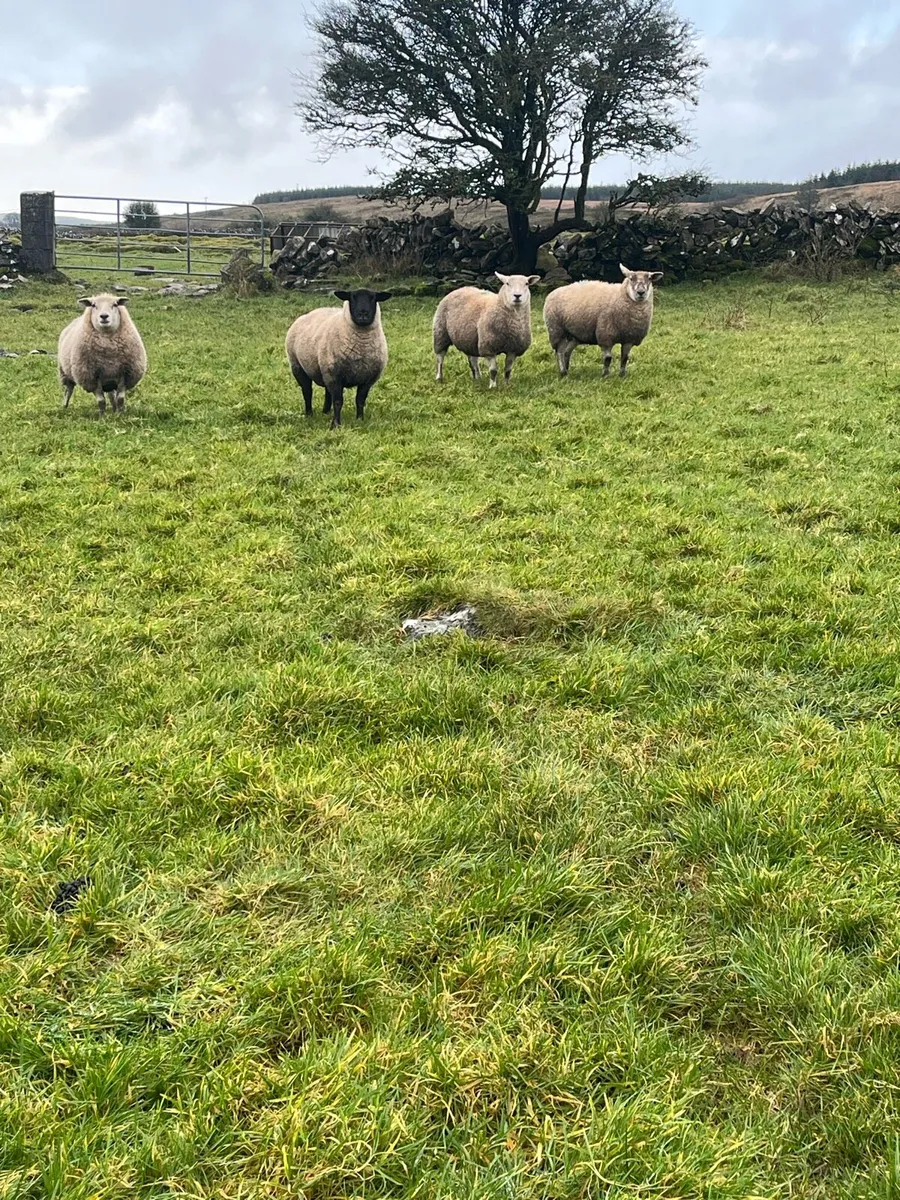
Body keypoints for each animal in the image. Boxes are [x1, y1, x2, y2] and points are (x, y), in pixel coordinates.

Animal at [285, 288, 391, 428]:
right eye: (352, 297)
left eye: (373, 298)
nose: (363, 314)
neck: (361, 347)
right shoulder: (334, 376)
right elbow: (338, 401)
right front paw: (335, 425)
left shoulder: (368, 379)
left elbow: (360, 400)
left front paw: (360, 419)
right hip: (298, 366)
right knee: (307, 391)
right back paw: (309, 414)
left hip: (325, 368)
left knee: (327, 392)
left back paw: (325, 412)